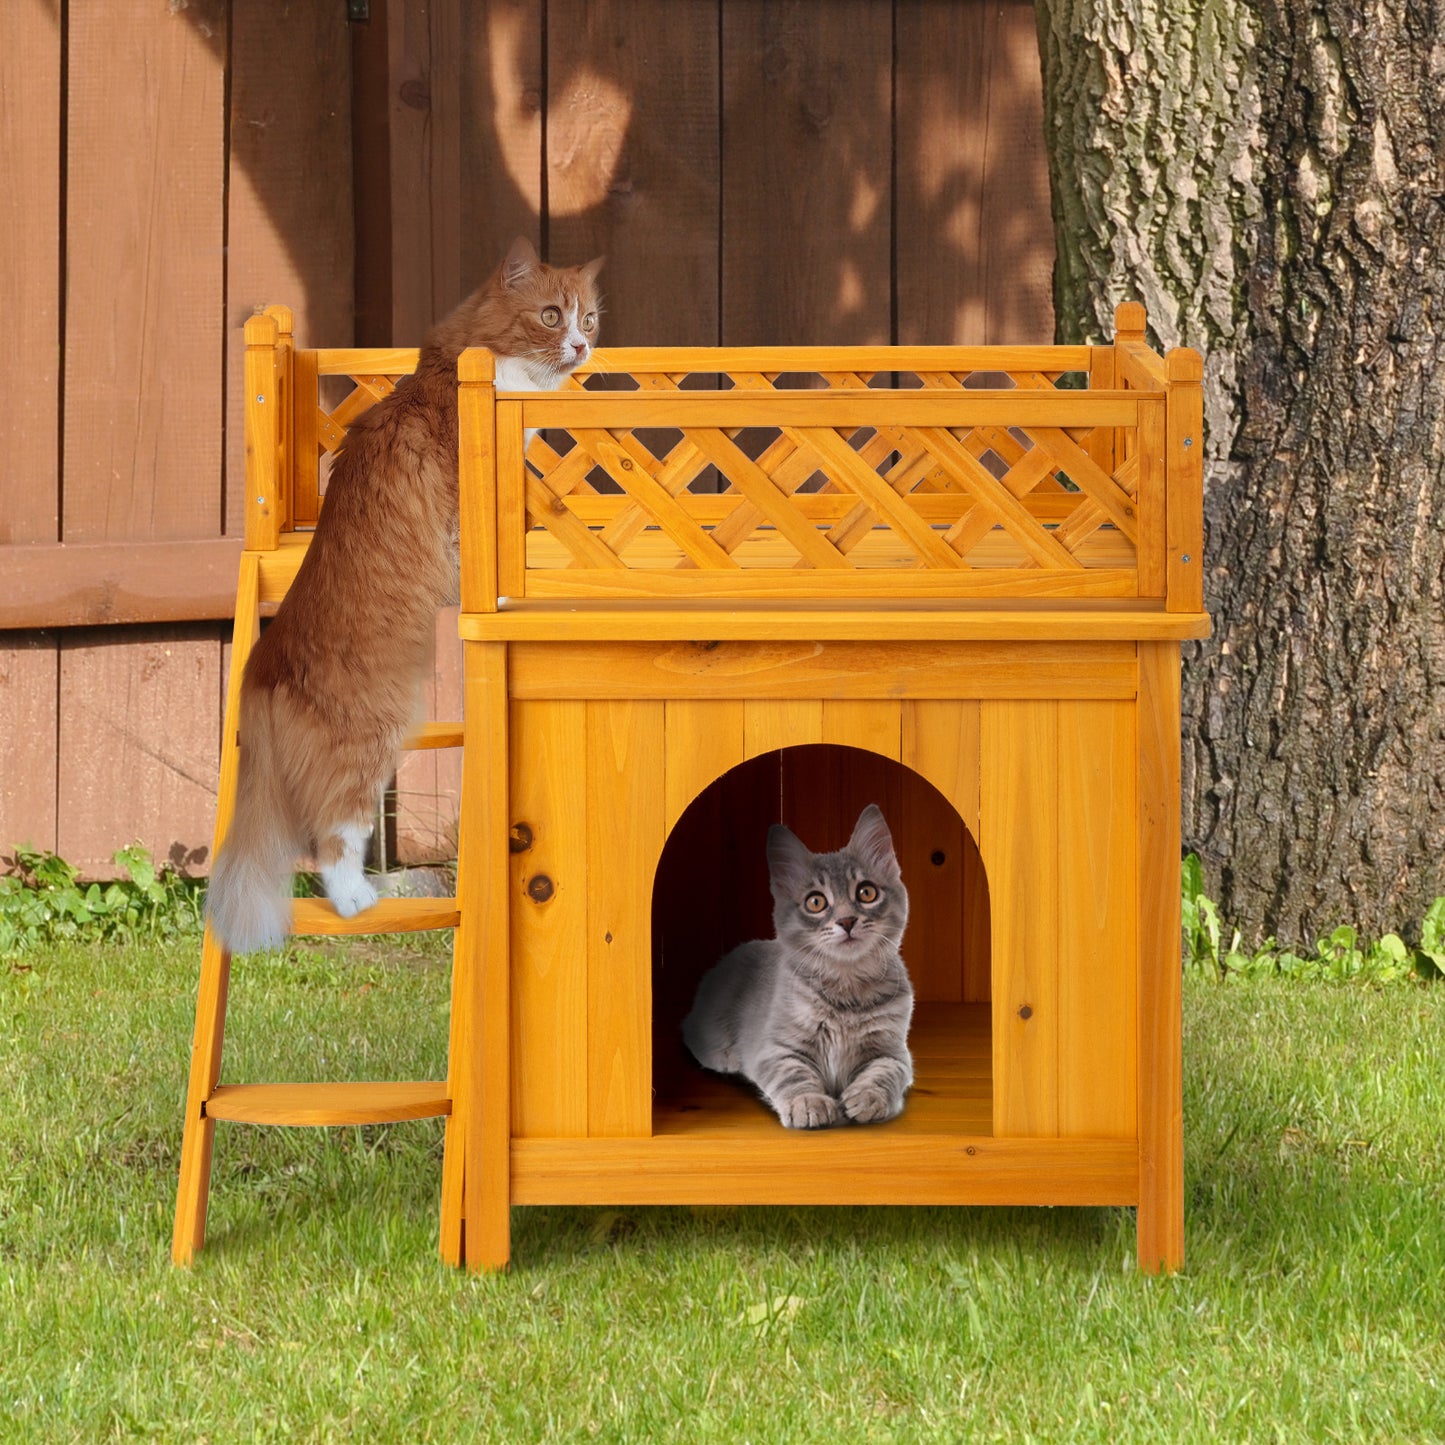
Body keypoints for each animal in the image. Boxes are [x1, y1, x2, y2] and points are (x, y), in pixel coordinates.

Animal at [206, 234, 601, 959]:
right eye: (551, 316)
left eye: (588, 318)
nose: (583, 346)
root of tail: (265, 660)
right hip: (369, 743)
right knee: (333, 839)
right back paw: (358, 901)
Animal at [679, 803, 907, 1127]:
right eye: (816, 902)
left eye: (866, 892)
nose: (847, 921)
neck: (846, 989)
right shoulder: (773, 1049)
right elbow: (794, 1075)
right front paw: (808, 1103)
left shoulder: (894, 1051)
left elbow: (884, 1073)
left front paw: (867, 1098)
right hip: (709, 1023)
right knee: (691, 1033)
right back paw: (727, 1058)